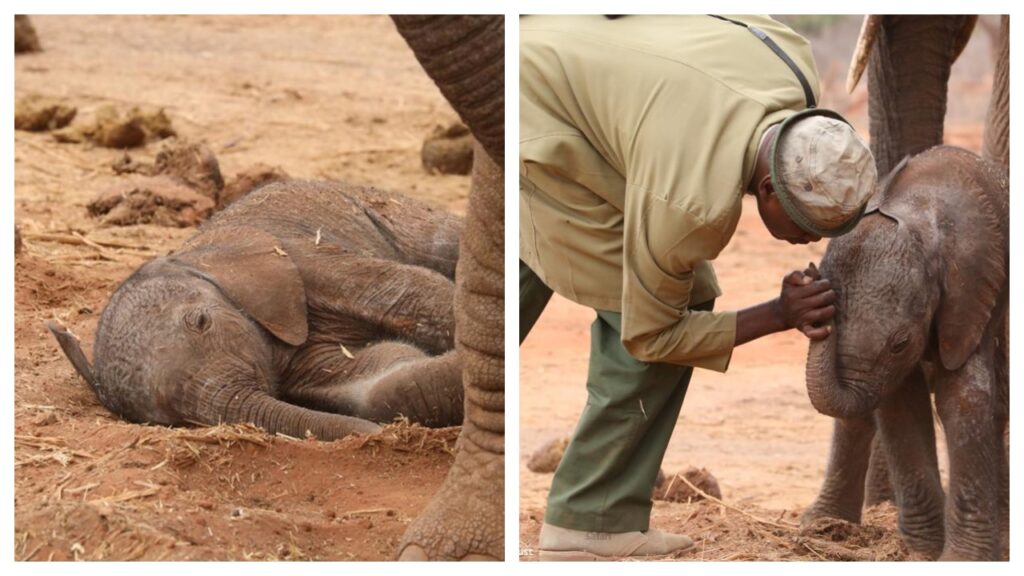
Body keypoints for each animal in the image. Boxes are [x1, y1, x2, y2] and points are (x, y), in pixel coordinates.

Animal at [48, 181, 464, 436]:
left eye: (201, 321)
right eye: (169, 421)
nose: (377, 438)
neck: (191, 255)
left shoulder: (303, 259)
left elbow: (413, 295)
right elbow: (382, 382)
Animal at [802, 145, 1003, 557]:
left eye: (901, 344)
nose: (810, 274)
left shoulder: (972, 293)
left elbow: (964, 400)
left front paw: (960, 559)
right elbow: (900, 404)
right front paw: (921, 553)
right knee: (859, 415)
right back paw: (821, 526)